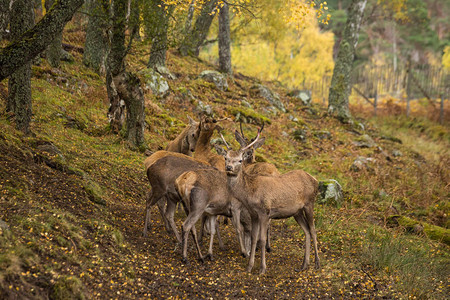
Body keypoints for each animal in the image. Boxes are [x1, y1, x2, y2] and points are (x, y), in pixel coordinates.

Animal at [215, 131, 318, 274]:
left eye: (240, 160)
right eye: (226, 158)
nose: (229, 167)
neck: (250, 193)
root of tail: (315, 180)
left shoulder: (264, 211)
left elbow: (262, 239)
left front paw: (262, 268)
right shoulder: (253, 213)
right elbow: (254, 238)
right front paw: (249, 266)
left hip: (310, 203)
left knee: (313, 230)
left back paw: (317, 263)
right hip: (296, 212)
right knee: (307, 231)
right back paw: (304, 264)